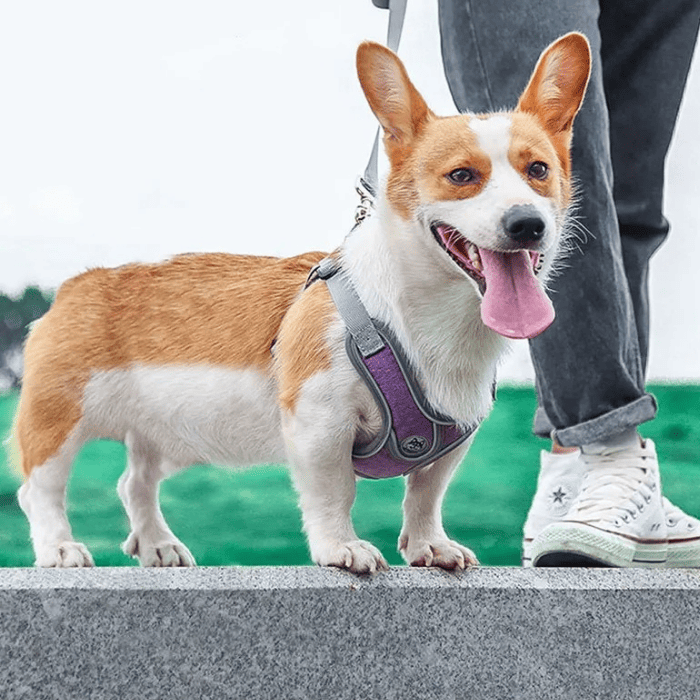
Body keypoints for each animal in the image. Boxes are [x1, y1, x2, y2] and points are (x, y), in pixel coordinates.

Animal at [12, 32, 592, 572]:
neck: (430, 316)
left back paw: (158, 545)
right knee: (40, 487)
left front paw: (431, 546)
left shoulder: (455, 435)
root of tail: (75, 284)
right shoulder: (321, 421)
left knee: (136, 482)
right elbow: (334, 492)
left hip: (167, 432)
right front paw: (342, 548)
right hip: (57, 416)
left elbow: (426, 493)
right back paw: (60, 547)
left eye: (539, 170)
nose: (527, 224)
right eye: (461, 176)